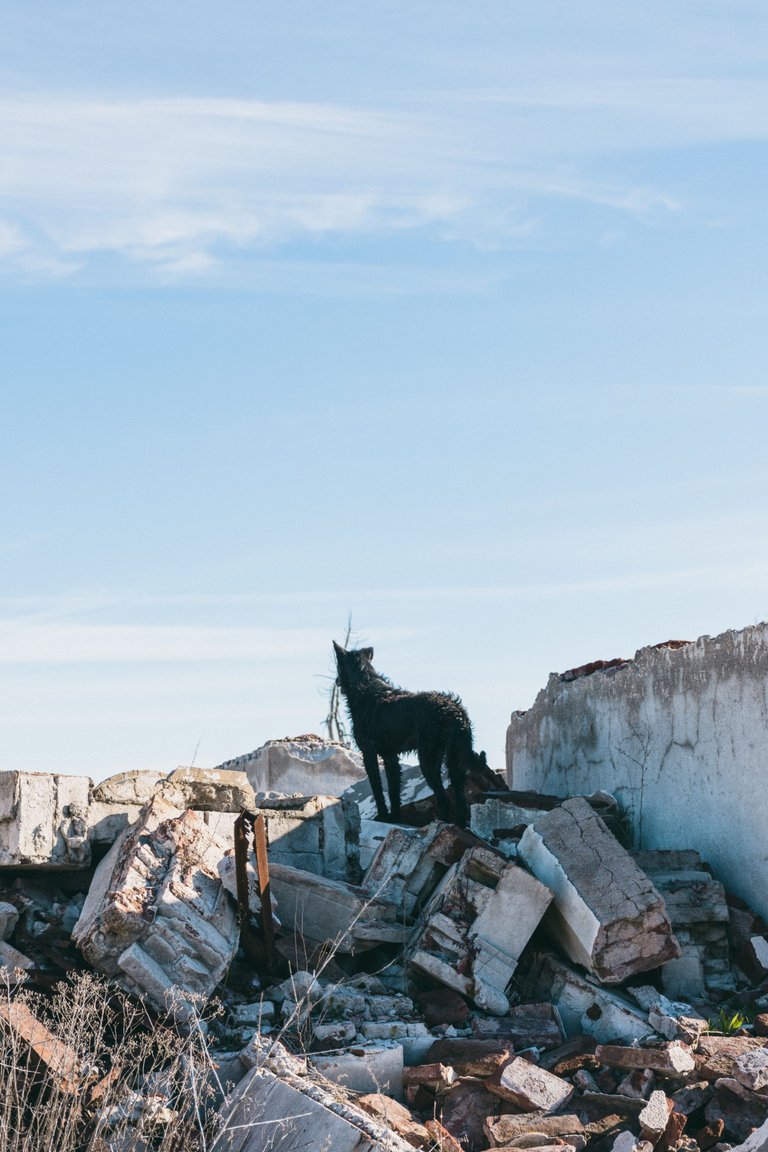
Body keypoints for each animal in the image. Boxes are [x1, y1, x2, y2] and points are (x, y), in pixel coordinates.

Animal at [331, 640, 476, 829]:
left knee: (444, 798)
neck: (365, 686)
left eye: (338, 667)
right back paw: (458, 824)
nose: (336, 681)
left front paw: (383, 816)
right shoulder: (390, 757)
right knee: (460, 798)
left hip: (428, 759)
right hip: (455, 760)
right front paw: (394, 817)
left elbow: (377, 789)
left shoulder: (368, 753)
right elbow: (394, 791)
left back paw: (439, 823)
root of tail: (455, 711)